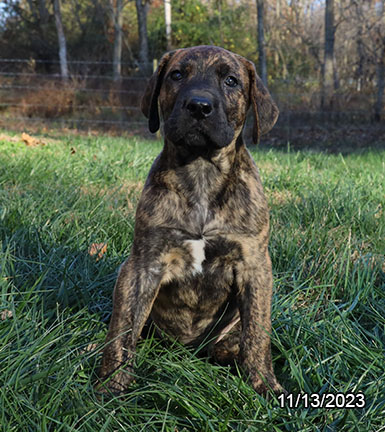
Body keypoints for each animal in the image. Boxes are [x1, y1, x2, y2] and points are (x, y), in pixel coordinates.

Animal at [98, 46, 284, 394]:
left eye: (231, 80)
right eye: (176, 75)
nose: (199, 106)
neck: (200, 172)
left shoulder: (254, 264)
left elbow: (257, 332)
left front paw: (264, 385)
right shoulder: (142, 265)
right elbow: (122, 329)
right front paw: (110, 386)